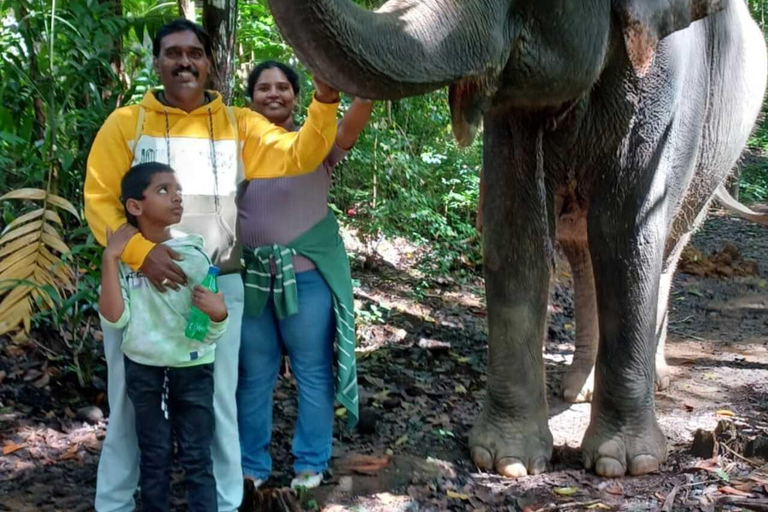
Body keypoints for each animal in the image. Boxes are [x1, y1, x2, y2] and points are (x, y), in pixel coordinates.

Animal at [266, 0, 768, 478]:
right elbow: (514, 223)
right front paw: (506, 462)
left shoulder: (666, 81)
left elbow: (628, 228)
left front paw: (623, 464)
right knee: (582, 252)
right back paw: (578, 388)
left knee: (666, 247)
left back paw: (654, 379)